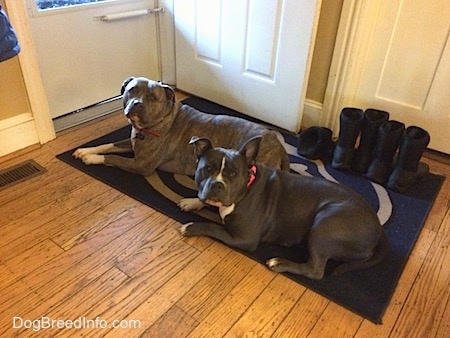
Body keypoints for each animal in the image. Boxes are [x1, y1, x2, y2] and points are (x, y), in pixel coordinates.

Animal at [72, 77, 290, 180]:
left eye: (153, 97)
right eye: (132, 89)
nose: (137, 104)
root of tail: (279, 146)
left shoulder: (142, 165)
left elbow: (114, 158)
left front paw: (92, 159)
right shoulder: (131, 141)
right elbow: (110, 145)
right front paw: (86, 151)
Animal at [181, 135, 388, 280]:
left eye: (233, 174)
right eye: (207, 168)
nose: (217, 185)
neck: (247, 186)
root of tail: (379, 229)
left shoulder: (244, 238)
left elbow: (213, 227)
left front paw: (190, 227)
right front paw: (192, 201)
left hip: (325, 222)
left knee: (315, 270)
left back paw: (279, 262)